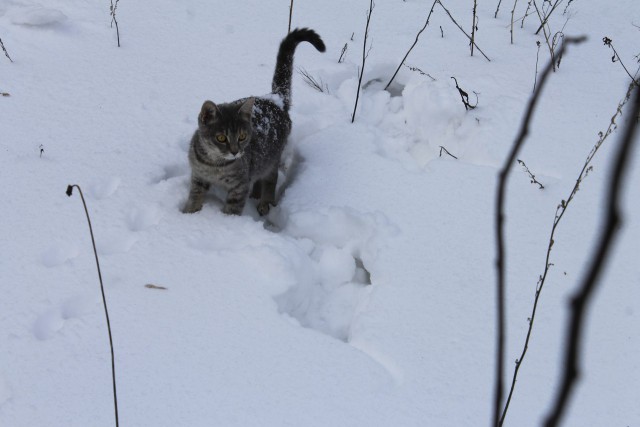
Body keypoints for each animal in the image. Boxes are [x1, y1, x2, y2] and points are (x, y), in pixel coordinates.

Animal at [184, 28, 324, 216]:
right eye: (221, 138)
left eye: (242, 137)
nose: (235, 151)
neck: (215, 164)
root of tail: (274, 99)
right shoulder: (198, 176)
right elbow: (195, 196)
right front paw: (189, 213)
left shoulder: (239, 185)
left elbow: (233, 208)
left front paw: (225, 221)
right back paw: (256, 194)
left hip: (272, 157)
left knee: (271, 179)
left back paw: (265, 202)